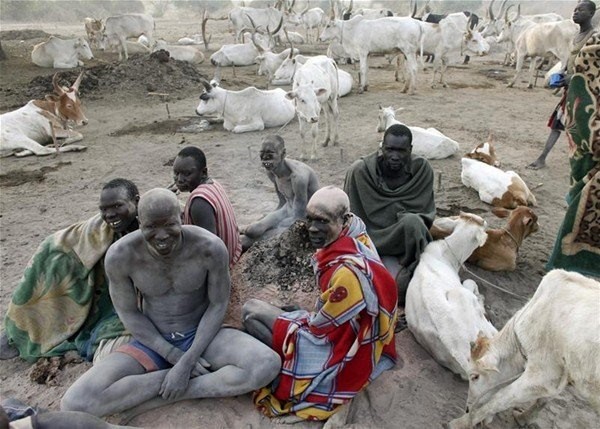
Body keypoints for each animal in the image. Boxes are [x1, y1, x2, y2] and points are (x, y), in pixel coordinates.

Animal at [450, 270, 600, 426]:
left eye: (475, 376)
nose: (467, 409)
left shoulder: (542, 375)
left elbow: (501, 398)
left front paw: (460, 423)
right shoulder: (560, 376)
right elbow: (544, 399)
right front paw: (523, 418)